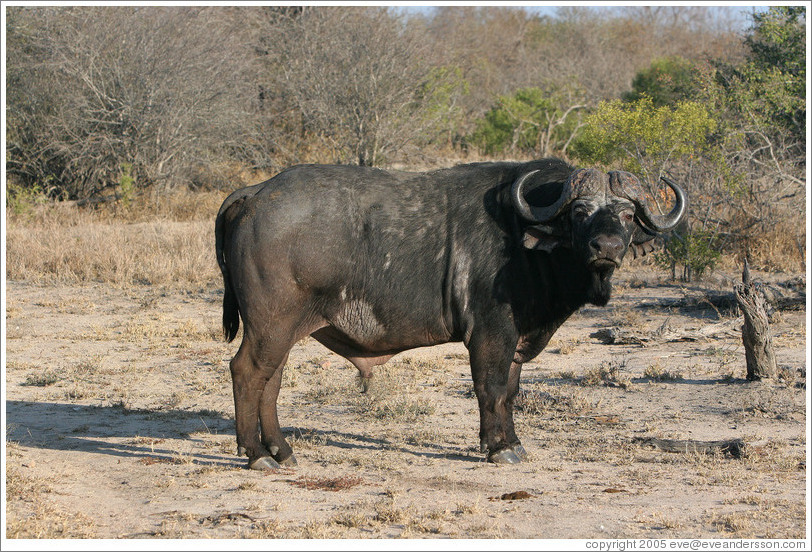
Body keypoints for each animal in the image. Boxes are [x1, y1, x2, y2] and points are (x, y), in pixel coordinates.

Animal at [215, 158, 686, 469]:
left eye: (627, 214)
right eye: (581, 211)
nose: (606, 247)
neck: (526, 239)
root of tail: (255, 193)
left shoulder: (516, 339)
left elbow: (510, 392)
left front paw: (512, 441)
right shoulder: (491, 334)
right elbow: (490, 389)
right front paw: (498, 448)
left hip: (280, 329)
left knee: (270, 381)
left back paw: (282, 451)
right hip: (270, 325)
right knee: (246, 372)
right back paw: (256, 455)